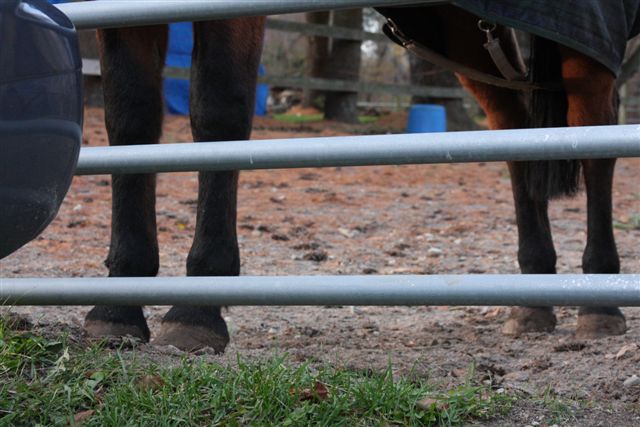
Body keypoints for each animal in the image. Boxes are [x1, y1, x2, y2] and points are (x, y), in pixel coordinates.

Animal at [86, 5, 632, 352]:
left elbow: (217, 111)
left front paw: (197, 310)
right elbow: (130, 120)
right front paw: (117, 306)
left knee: (597, 139)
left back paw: (600, 300)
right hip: (459, 26)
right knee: (516, 129)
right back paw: (534, 299)